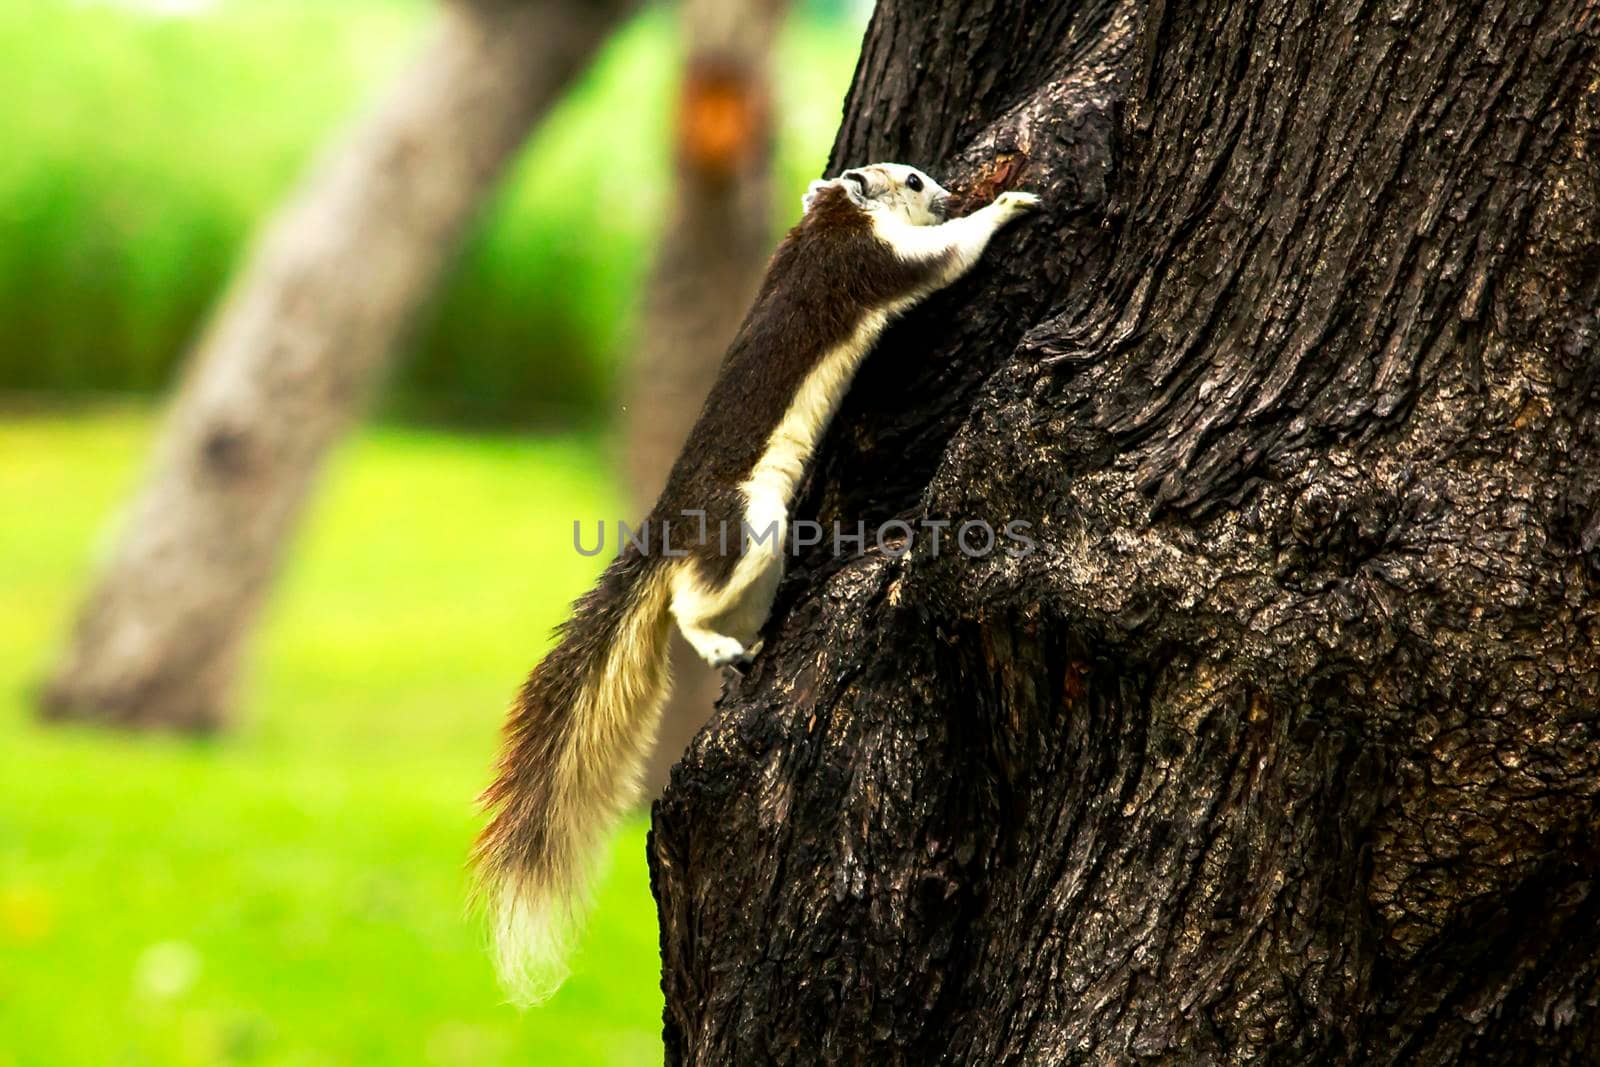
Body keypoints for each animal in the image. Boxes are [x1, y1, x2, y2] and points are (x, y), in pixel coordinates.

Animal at [470, 163, 1049, 1004]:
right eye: (911, 179)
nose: (946, 193)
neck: (831, 222)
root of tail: (671, 524)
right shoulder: (876, 261)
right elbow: (946, 258)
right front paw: (1004, 206)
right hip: (749, 522)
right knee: (687, 602)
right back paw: (717, 643)